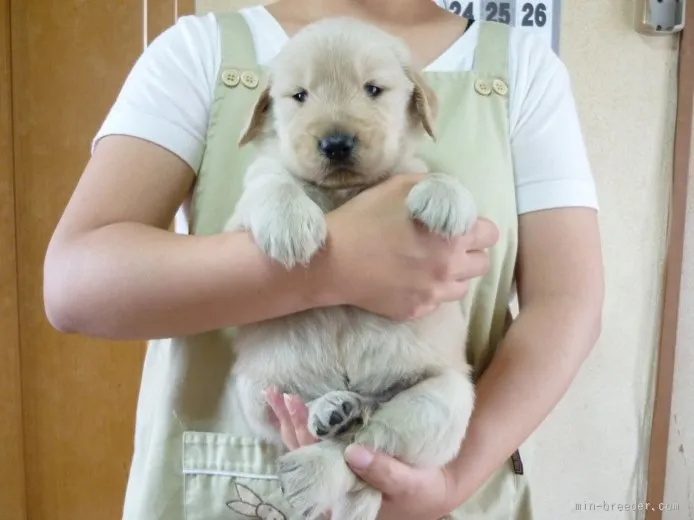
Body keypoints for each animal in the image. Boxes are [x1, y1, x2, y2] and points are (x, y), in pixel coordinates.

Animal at [227, 16, 478, 520]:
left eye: (373, 89)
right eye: (299, 95)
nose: (336, 143)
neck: (344, 192)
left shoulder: (406, 166)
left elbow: (428, 172)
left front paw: (445, 195)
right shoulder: (242, 208)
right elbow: (272, 182)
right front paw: (289, 221)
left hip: (447, 400)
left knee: (363, 446)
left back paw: (332, 441)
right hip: (254, 390)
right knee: (334, 432)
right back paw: (330, 411)